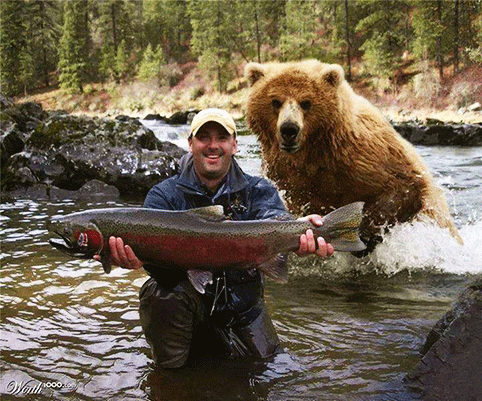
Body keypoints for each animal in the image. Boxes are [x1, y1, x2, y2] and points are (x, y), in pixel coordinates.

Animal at [245, 59, 464, 250]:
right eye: (275, 101)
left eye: (306, 102)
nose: (289, 129)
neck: (314, 152)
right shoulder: (288, 176)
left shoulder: (366, 158)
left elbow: (403, 187)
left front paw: (364, 233)